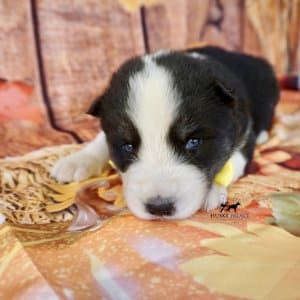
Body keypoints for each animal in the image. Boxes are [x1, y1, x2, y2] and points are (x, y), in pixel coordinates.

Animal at [51, 47, 278, 220]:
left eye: (193, 142)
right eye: (128, 146)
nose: (159, 208)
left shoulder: (243, 129)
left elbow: (233, 161)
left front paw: (212, 189)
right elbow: (101, 139)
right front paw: (77, 161)